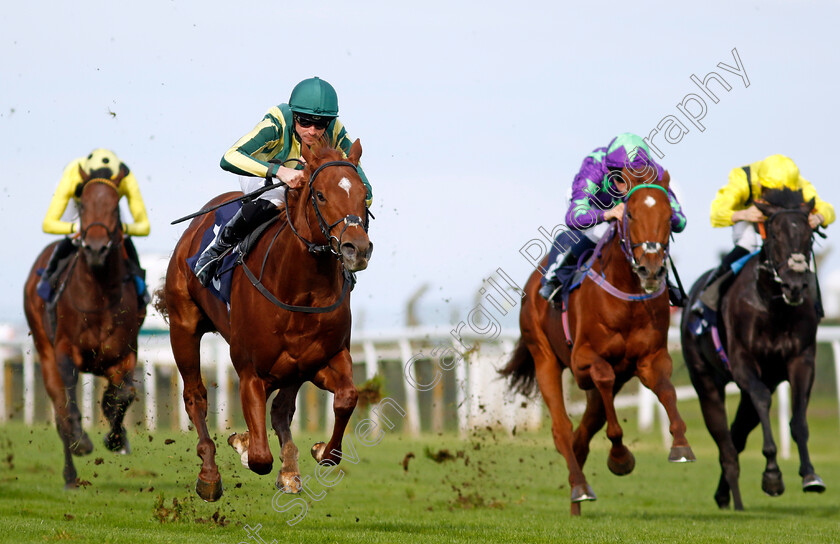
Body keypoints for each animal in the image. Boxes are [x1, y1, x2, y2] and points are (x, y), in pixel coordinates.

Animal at [23, 172, 144, 486]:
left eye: (115, 207)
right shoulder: (65, 350)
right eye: (83, 204)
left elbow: (124, 395)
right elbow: (68, 402)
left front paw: (117, 438)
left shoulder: (123, 354)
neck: (98, 296)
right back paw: (70, 475)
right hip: (44, 349)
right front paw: (82, 440)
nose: (97, 248)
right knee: (59, 408)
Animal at [161, 139, 370, 502]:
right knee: (195, 396)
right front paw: (245, 446)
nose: (357, 249)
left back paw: (289, 471)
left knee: (281, 410)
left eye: (362, 193)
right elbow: (259, 457)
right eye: (320, 195)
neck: (301, 289)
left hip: (294, 368)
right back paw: (209, 475)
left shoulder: (323, 358)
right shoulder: (250, 371)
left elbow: (347, 397)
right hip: (183, 326)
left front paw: (322, 451)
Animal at [502, 170, 692, 516]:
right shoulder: (583, 362)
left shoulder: (650, 358)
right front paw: (620, 457)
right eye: (630, 214)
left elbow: (667, 390)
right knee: (563, 429)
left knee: (584, 431)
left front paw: (680, 445)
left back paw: (576, 497)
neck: (627, 296)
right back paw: (580, 488)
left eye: (669, 217)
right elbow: (603, 379)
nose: (651, 269)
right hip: (544, 356)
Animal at [680, 187, 824, 510]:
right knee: (725, 441)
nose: (795, 285)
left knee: (737, 434)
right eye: (775, 235)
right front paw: (772, 475)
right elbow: (761, 400)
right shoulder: (743, 362)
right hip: (706, 381)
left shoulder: (801, 360)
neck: (772, 307)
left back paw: (723, 494)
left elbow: (798, 419)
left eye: (809, 236)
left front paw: (810, 475)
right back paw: (734, 498)